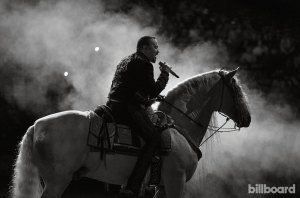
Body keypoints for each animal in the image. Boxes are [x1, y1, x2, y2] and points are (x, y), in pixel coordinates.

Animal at [10, 68, 251, 198]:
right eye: (236, 89)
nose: (247, 118)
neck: (178, 129)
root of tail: (37, 126)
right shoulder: (176, 181)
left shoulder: (162, 186)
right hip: (57, 181)